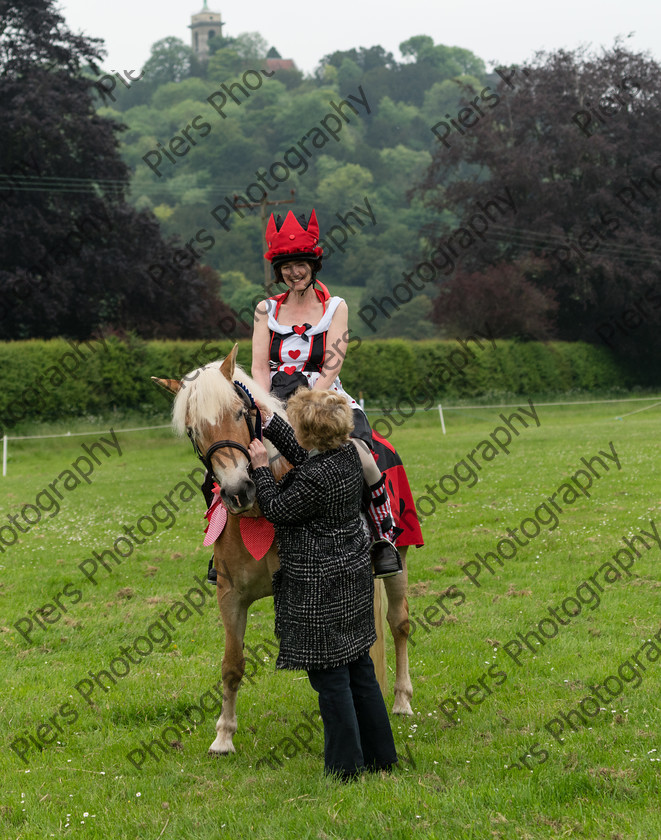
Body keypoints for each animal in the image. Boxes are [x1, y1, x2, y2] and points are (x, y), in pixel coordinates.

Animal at [153, 344, 412, 756]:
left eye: (239, 413)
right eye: (193, 430)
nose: (237, 490)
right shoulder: (229, 595)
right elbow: (232, 664)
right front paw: (223, 737)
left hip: (400, 555)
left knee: (399, 623)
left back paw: (402, 699)